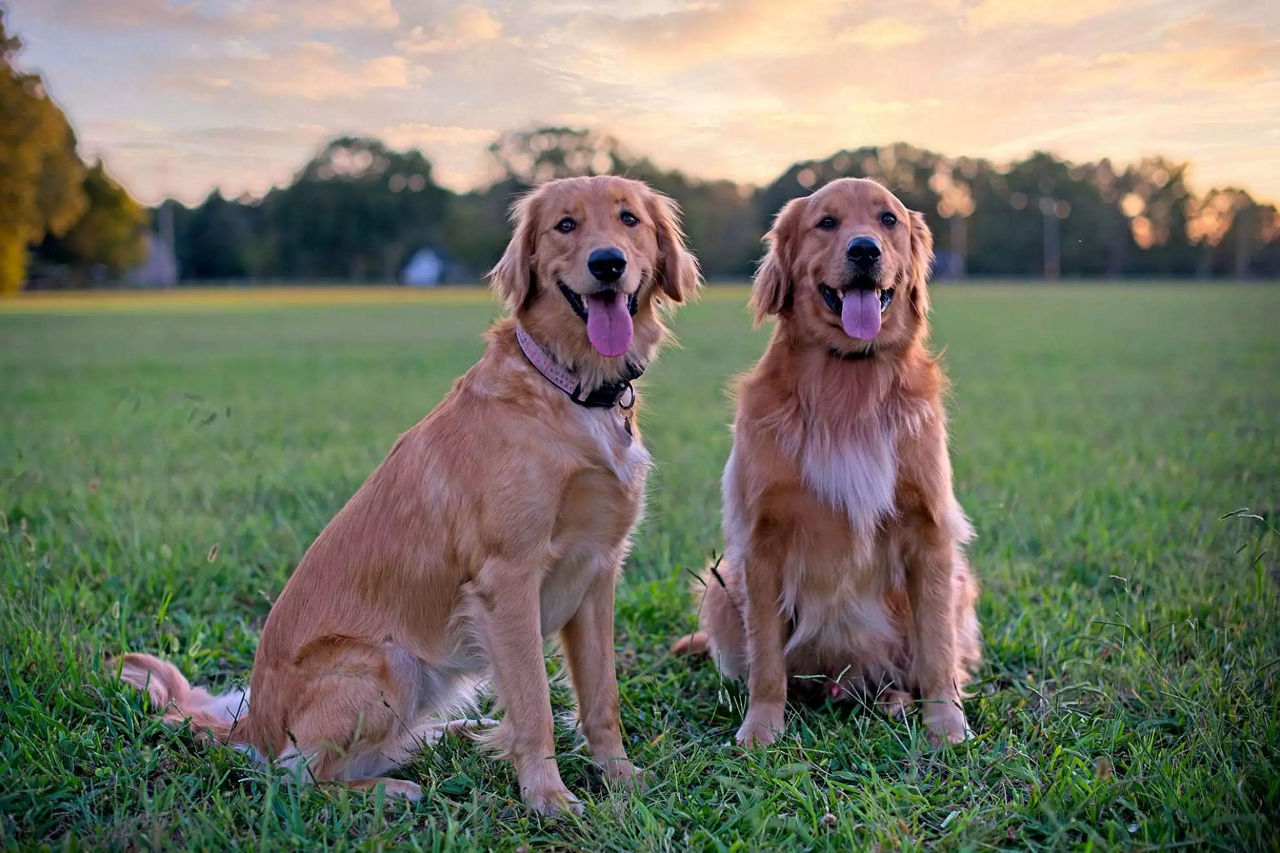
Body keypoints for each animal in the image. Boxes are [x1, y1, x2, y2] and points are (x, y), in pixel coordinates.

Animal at [117, 172, 701, 809]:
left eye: (628, 219)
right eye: (565, 225)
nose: (607, 263)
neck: (568, 387)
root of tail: (253, 724)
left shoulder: (597, 572)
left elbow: (602, 697)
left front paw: (619, 776)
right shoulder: (508, 579)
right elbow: (535, 704)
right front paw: (548, 798)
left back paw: (452, 732)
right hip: (388, 662)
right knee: (300, 777)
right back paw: (391, 789)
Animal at [675, 175, 972, 742]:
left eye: (888, 219)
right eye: (826, 222)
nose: (864, 250)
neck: (848, 378)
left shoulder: (929, 531)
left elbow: (938, 648)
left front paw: (946, 722)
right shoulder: (761, 539)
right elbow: (767, 659)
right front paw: (762, 728)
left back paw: (897, 700)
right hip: (722, 585)